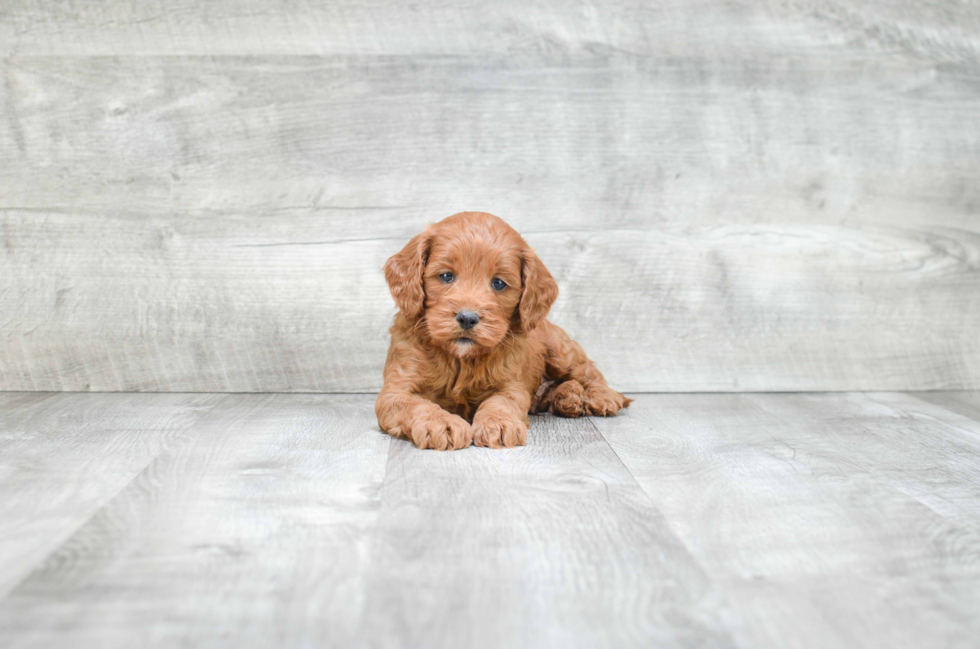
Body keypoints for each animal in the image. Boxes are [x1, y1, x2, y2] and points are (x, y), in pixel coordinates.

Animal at [372, 210, 632, 448]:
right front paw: (441, 423)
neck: (461, 360)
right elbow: (416, 404)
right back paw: (567, 397)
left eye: (498, 283)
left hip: (561, 351)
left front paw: (498, 423)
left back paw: (600, 396)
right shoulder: (396, 389)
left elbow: (501, 402)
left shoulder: (511, 384)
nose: (467, 318)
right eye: (446, 276)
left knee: (588, 371)